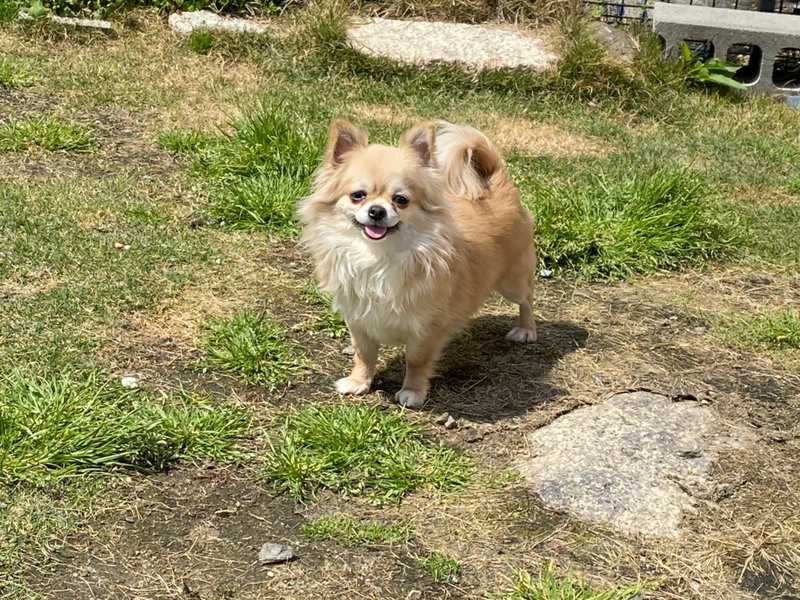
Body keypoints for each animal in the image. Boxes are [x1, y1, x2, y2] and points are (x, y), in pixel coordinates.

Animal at [297, 119, 537, 408]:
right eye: (357, 195)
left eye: (401, 200)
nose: (377, 211)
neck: (379, 256)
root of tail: (496, 185)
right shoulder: (358, 318)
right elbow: (364, 354)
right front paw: (359, 382)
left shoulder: (427, 327)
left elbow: (417, 361)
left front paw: (412, 392)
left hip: (512, 281)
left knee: (527, 297)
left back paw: (525, 330)